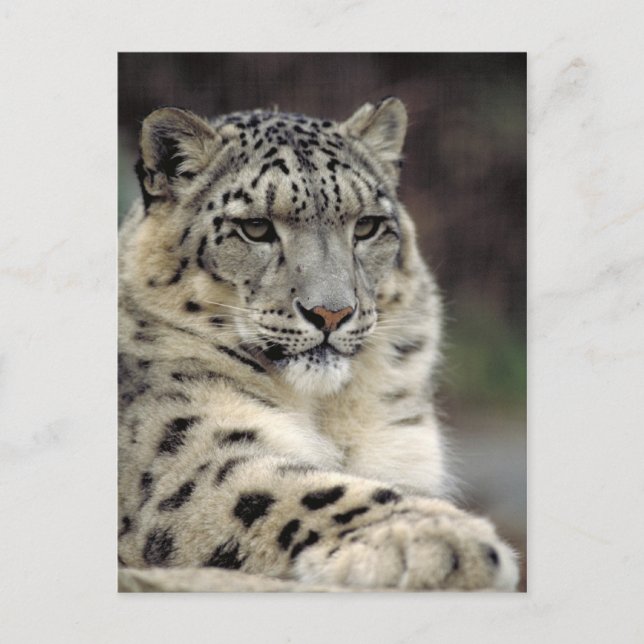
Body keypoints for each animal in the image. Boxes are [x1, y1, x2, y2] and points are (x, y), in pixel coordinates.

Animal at [118, 97, 519, 590]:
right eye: (256, 227)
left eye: (366, 226)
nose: (332, 312)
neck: (329, 412)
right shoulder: (186, 457)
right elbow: (297, 489)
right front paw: (442, 537)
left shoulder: (405, 449)